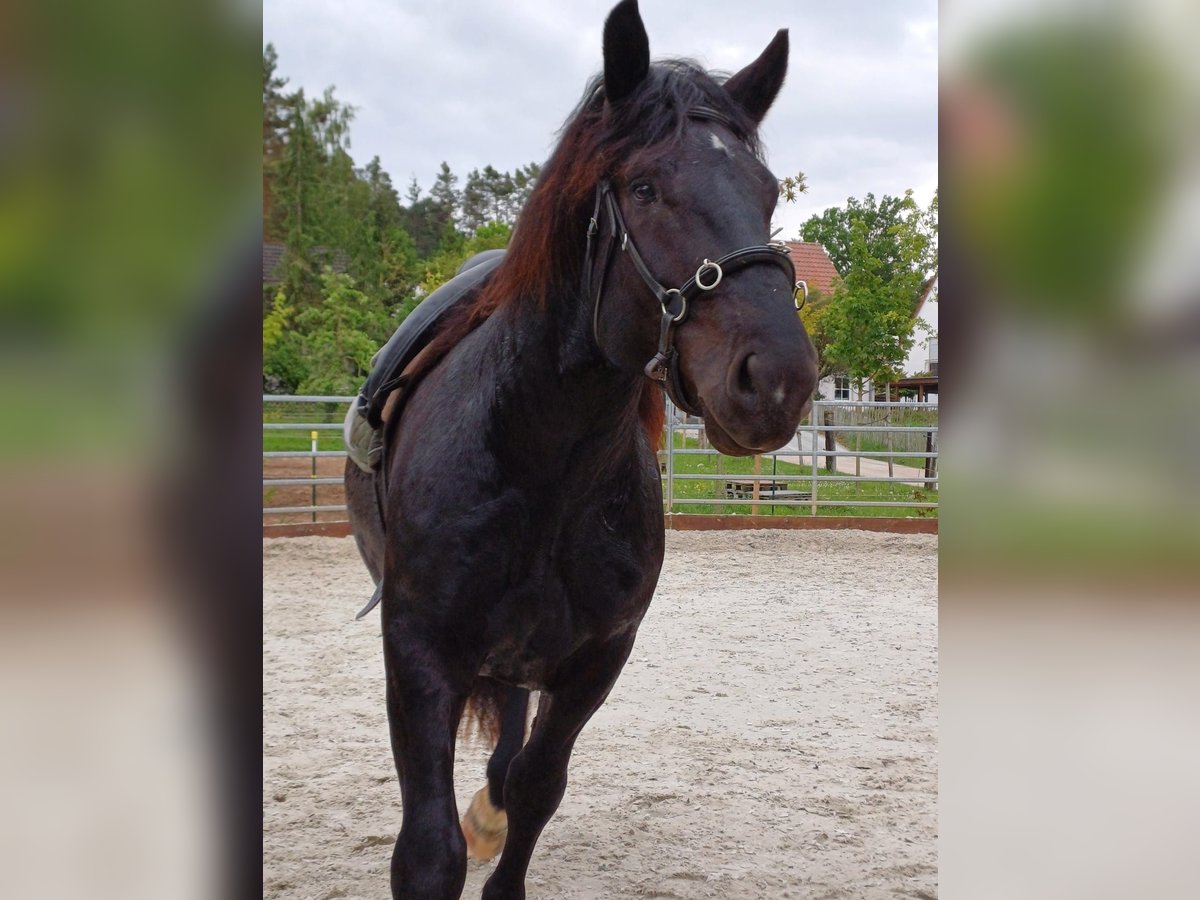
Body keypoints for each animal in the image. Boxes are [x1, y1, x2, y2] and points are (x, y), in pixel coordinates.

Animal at [343, 3, 820, 897]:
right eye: (644, 186)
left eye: (767, 192)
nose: (778, 379)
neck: (539, 466)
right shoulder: (418, 653)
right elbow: (428, 851)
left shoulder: (597, 660)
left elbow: (537, 786)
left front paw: (502, 824)